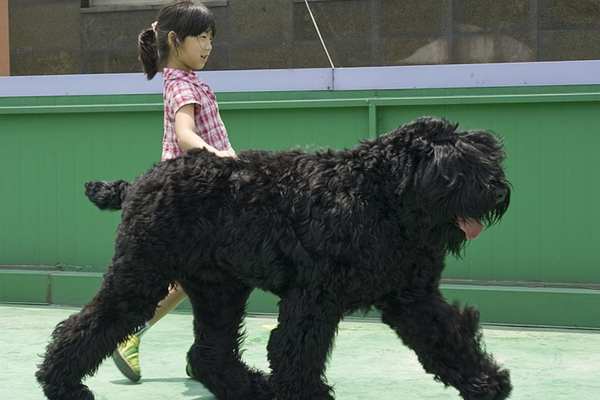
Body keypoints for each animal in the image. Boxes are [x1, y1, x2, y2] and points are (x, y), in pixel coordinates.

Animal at [35, 116, 510, 400]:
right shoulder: (314, 297)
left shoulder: (413, 296)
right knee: (89, 325)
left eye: (489, 154)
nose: (498, 189)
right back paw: (61, 384)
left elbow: (446, 335)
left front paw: (485, 381)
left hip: (219, 291)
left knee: (209, 352)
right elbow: (295, 349)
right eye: (457, 165)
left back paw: (249, 386)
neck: (379, 194)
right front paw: (306, 395)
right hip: (141, 277)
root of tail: (137, 182)